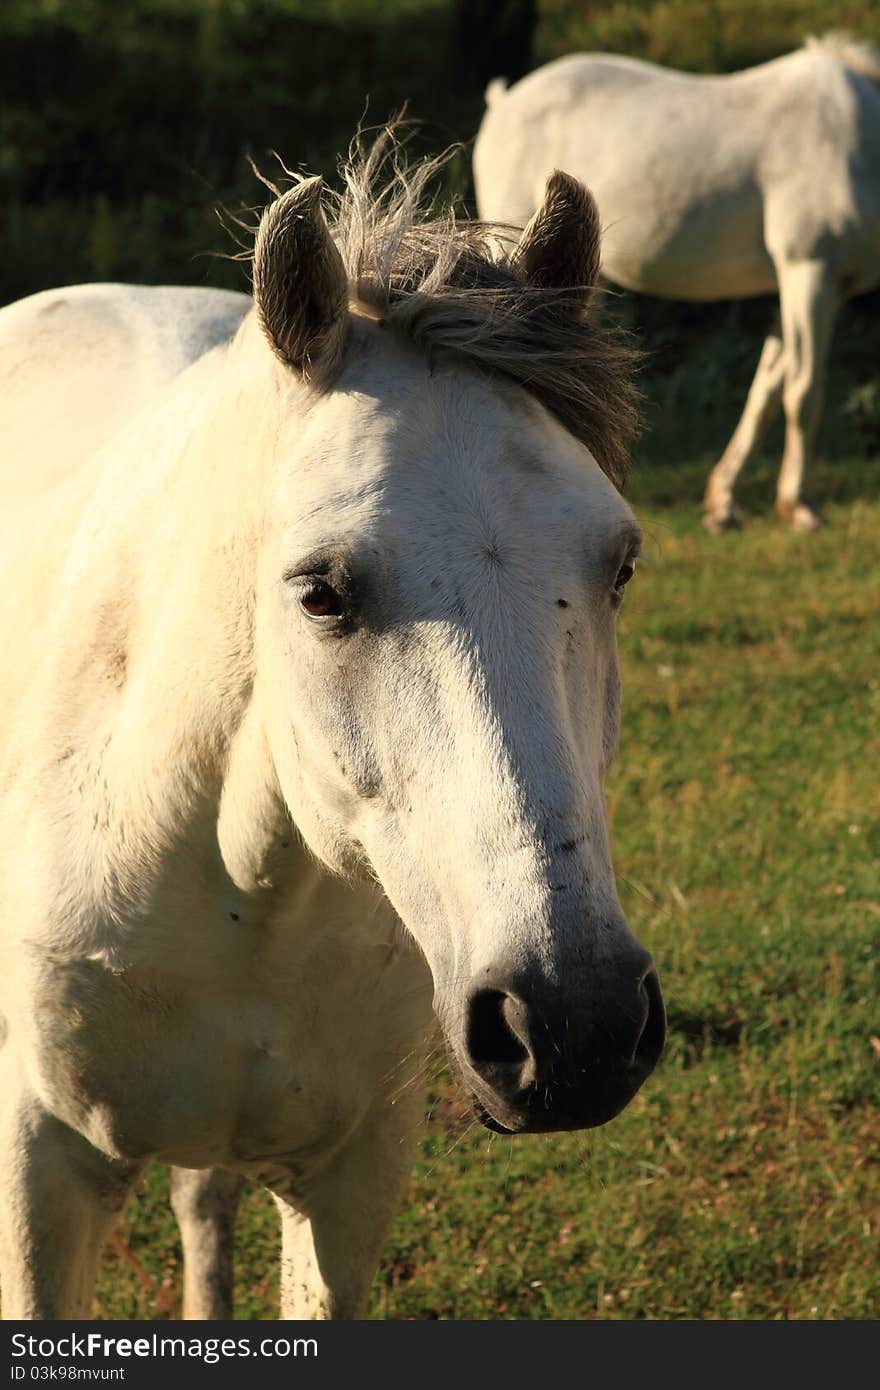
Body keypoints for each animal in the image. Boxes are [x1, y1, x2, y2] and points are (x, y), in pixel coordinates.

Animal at [472, 33, 878, 530]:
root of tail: (506, 100)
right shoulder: (809, 268)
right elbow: (803, 391)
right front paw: (799, 505)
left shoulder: (813, 286)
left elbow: (766, 388)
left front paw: (724, 502)